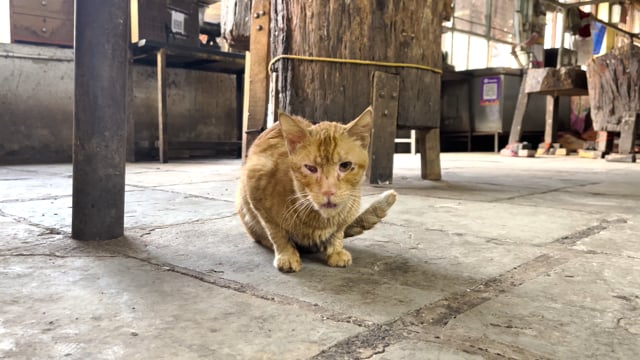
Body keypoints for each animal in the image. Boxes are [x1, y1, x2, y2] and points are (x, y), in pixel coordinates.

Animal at [235, 107, 396, 272]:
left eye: (345, 166)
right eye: (311, 168)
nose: (328, 191)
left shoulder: (348, 211)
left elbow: (338, 231)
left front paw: (335, 250)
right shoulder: (256, 187)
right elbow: (277, 233)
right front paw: (287, 254)